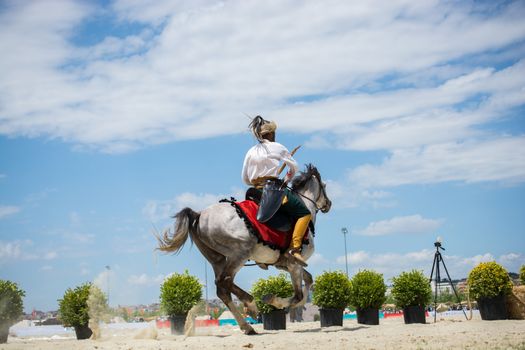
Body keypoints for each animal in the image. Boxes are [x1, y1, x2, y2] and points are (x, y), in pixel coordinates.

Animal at [154, 164, 332, 334]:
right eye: (323, 185)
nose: (328, 204)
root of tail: (199, 215)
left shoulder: (285, 265)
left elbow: (308, 281)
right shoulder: (294, 264)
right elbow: (298, 295)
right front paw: (275, 301)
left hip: (218, 259)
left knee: (222, 289)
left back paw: (247, 325)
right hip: (239, 255)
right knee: (224, 282)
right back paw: (251, 305)